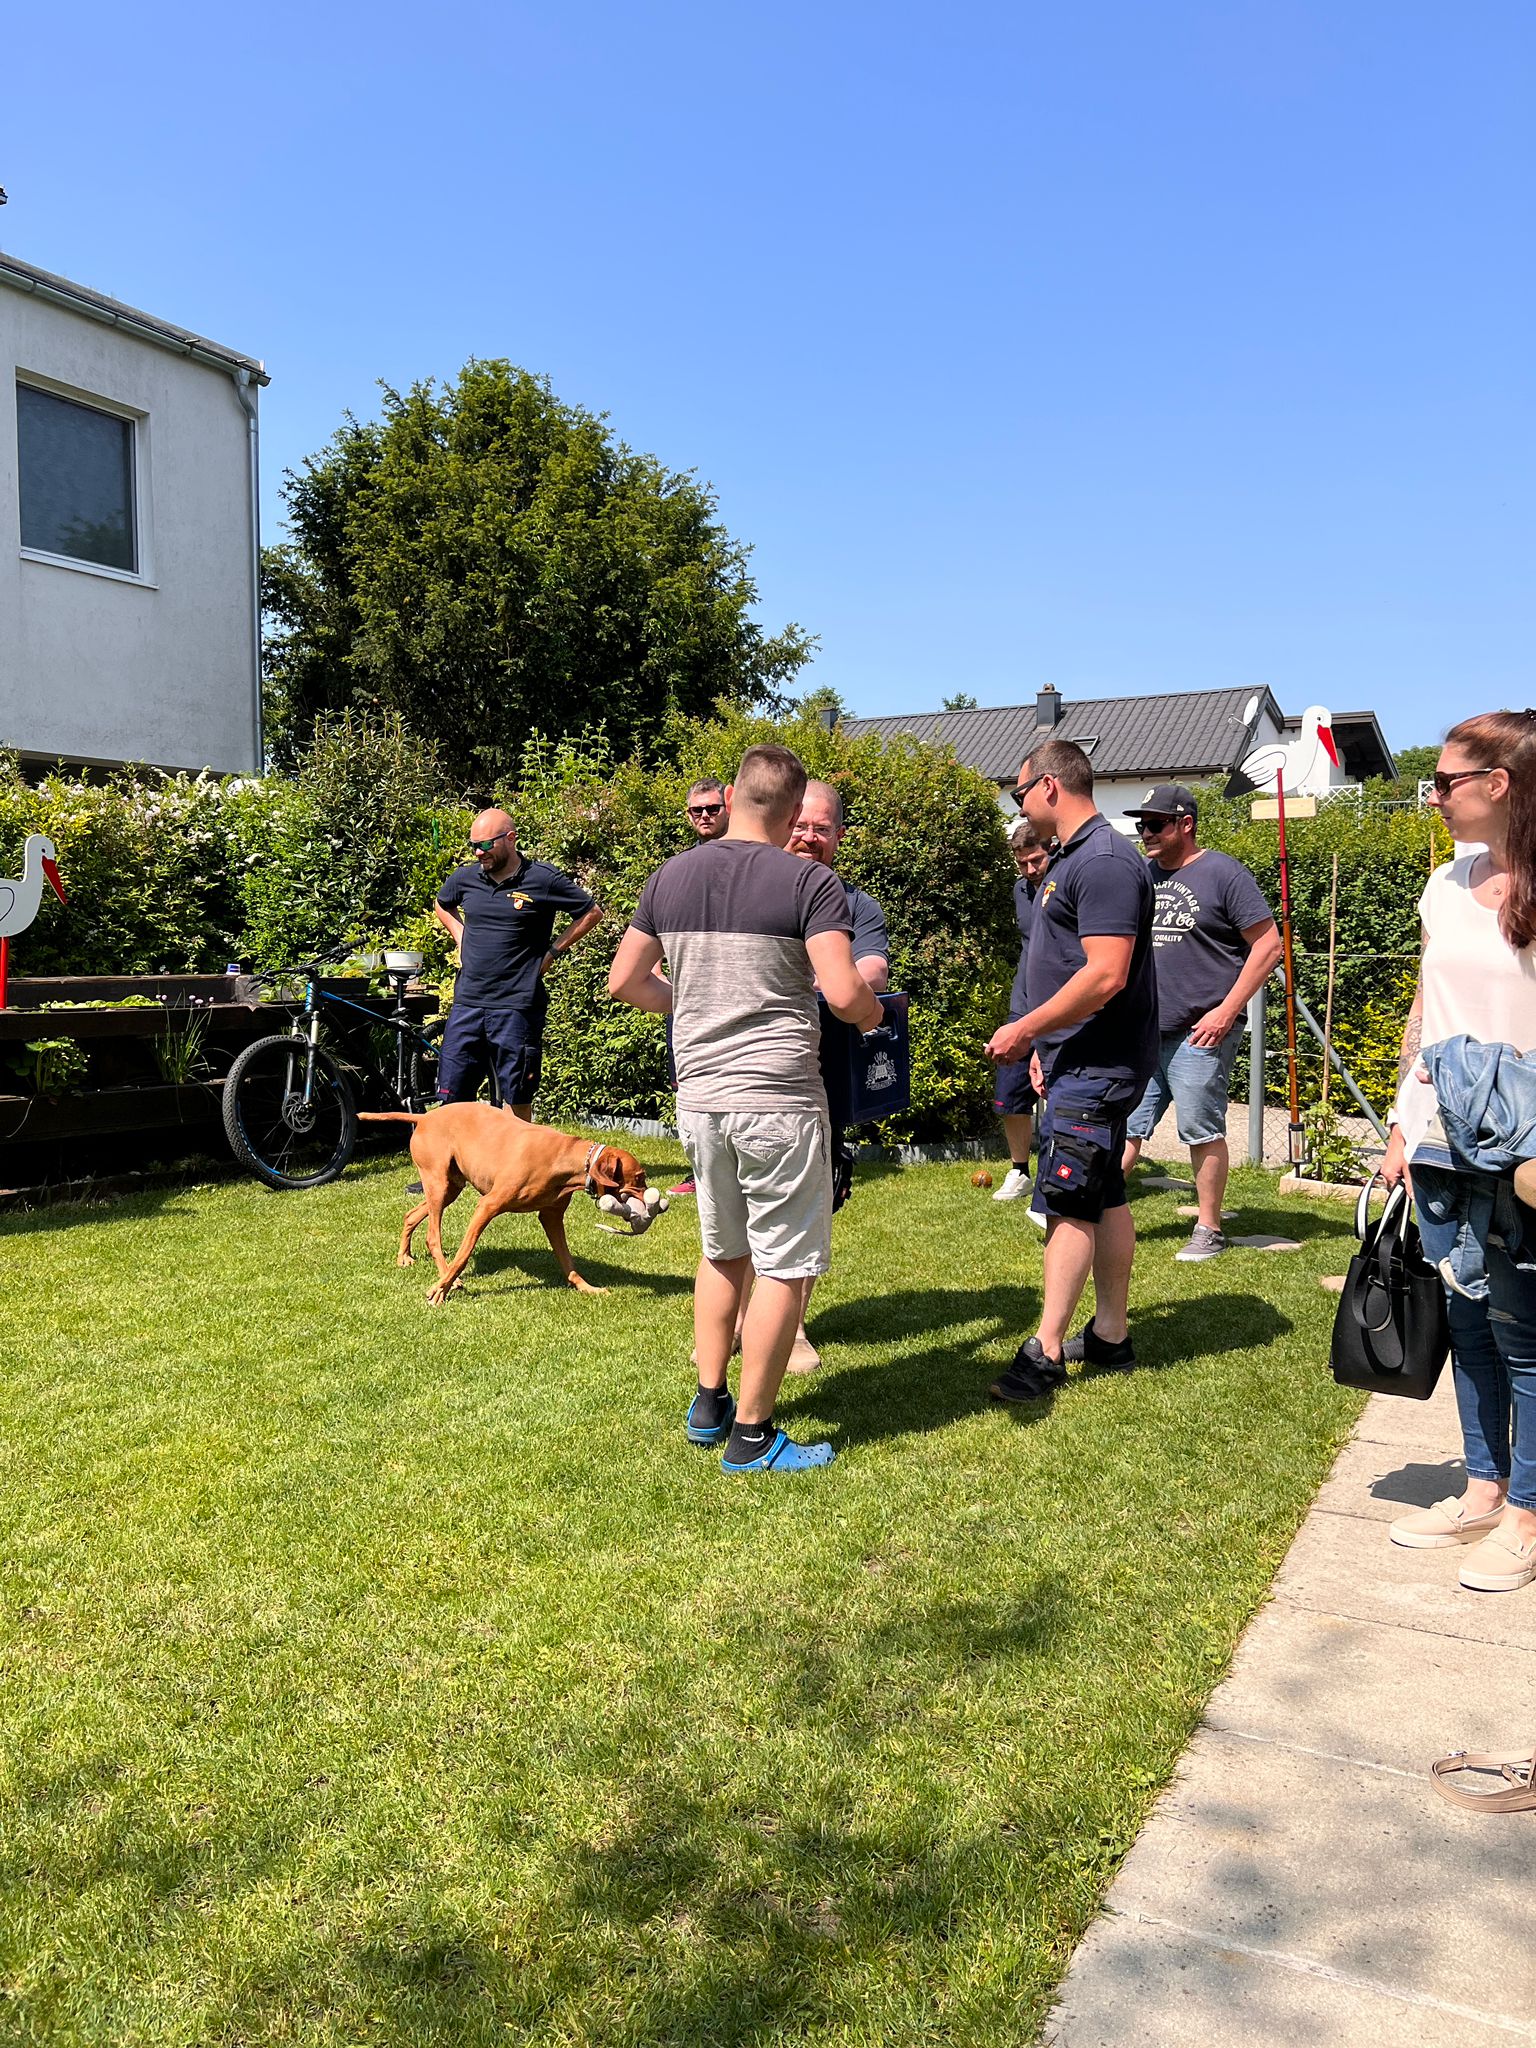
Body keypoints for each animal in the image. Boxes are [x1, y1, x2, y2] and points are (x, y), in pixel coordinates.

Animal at [357, 1105, 662, 1304]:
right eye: (640, 1177)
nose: (654, 1202)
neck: (567, 1159)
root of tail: (425, 1115)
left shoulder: (551, 1217)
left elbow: (568, 1261)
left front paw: (588, 1288)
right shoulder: (487, 1206)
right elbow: (463, 1255)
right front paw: (440, 1290)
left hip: (449, 1188)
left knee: (411, 1215)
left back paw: (404, 1257)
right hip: (438, 1182)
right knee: (433, 1237)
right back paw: (448, 1281)